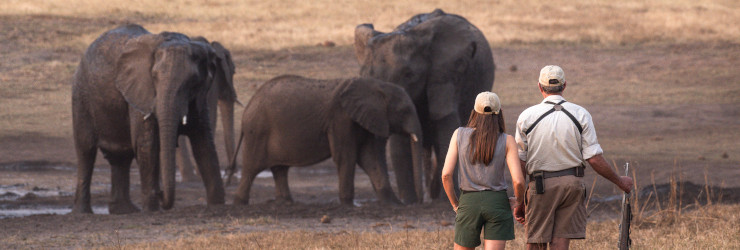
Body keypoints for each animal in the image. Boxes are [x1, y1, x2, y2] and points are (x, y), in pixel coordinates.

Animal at [72, 24, 224, 214]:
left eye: (193, 81)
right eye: (155, 78)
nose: (161, 193)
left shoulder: (199, 97)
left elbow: (204, 143)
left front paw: (217, 205)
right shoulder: (141, 92)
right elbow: (148, 145)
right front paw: (152, 210)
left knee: (121, 157)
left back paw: (125, 210)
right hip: (81, 95)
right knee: (86, 150)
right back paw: (83, 212)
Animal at [234, 74, 424, 205]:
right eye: (404, 110)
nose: (417, 203)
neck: (374, 85)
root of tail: (248, 107)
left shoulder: (364, 120)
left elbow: (369, 159)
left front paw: (393, 204)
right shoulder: (340, 118)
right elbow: (347, 157)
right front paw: (347, 204)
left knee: (280, 169)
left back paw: (286, 202)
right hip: (257, 132)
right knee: (251, 169)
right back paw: (240, 203)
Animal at [354, 8, 494, 199]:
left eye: (409, 75)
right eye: (364, 76)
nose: (420, 200)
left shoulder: (446, 77)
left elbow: (446, 133)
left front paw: (443, 199)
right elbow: (399, 145)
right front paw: (409, 201)